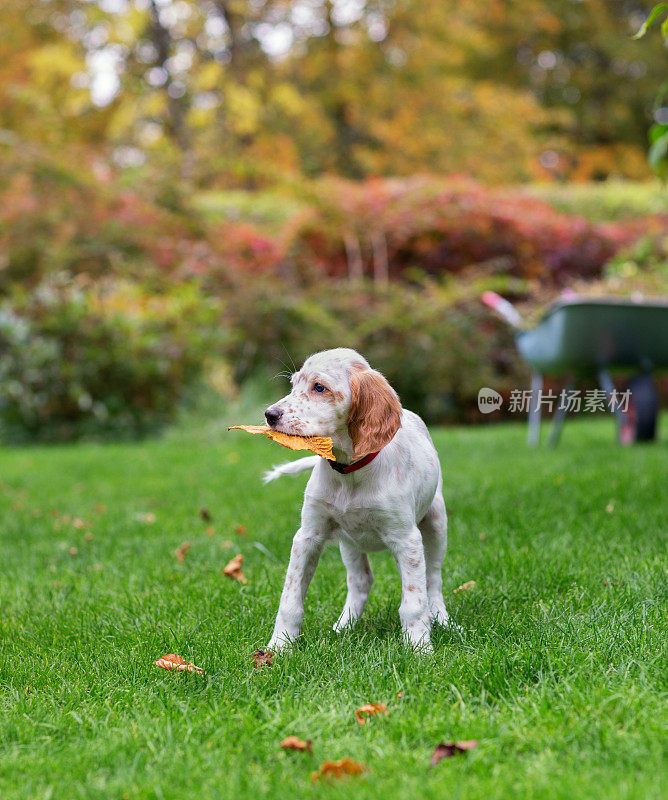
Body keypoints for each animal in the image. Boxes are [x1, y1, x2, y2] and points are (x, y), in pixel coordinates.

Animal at [264, 346, 452, 652]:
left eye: (319, 387)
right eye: (293, 385)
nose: (270, 414)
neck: (348, 471)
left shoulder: (407, 539)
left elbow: (414, 602)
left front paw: (419, 648)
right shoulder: (308, 536)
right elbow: (289, 599)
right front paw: (279, 646)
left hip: (435, 523)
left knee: (433, 579)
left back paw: (444, 621)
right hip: (349, 543)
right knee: (361, 581)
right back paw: (344, 627)